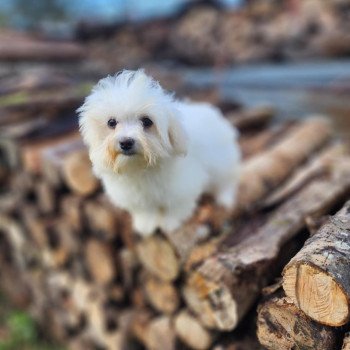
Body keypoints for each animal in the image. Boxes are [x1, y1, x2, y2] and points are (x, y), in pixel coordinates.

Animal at [78, 69, 241, 237]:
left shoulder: (183, 187)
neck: (140, 168)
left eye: (147, 121)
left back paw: (225, 198)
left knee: (226, 180)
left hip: (222, 162)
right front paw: (146, 225)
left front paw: (170, 223)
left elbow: (175, 207)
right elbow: (145, 211)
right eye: (111, 122)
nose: (126, 142)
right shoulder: (134, 196)